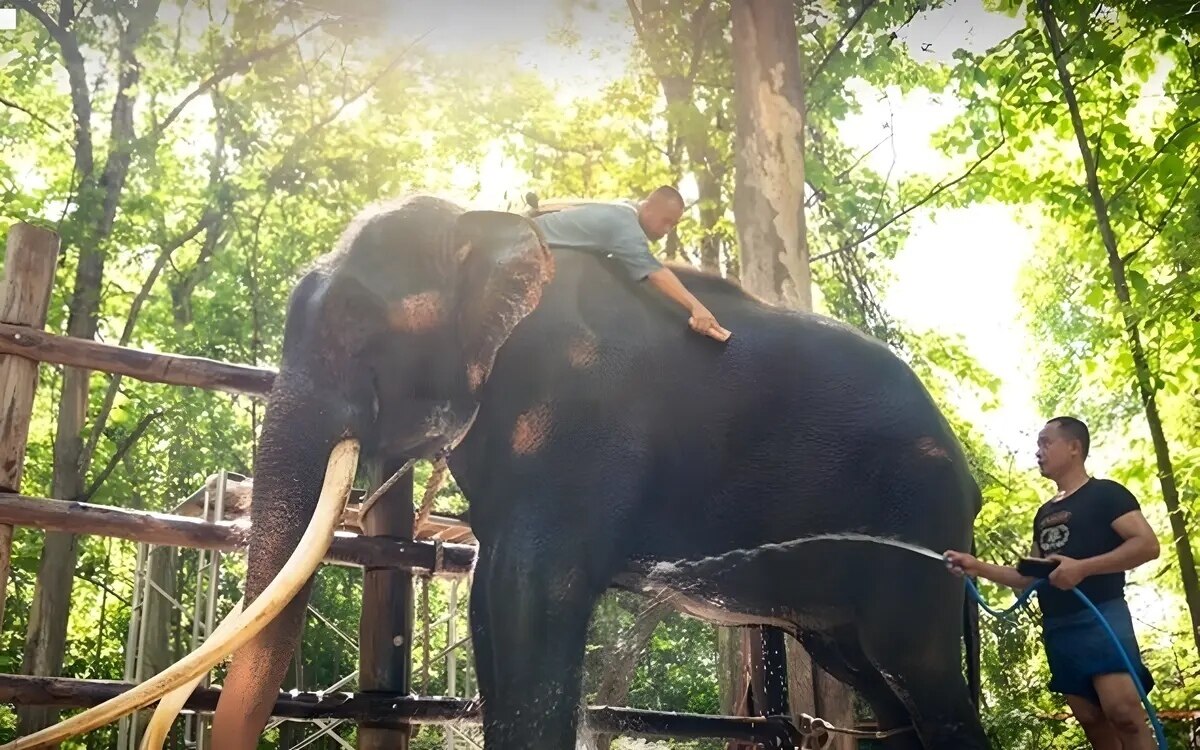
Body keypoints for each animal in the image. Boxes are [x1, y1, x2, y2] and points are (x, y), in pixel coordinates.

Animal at [211, 194, 988, 748]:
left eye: (356, 316)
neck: (482, 226)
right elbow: (491, 598)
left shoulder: (582, 413)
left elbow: (532, 589)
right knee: (873, 679)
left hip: (915, 521)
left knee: (919, 670)